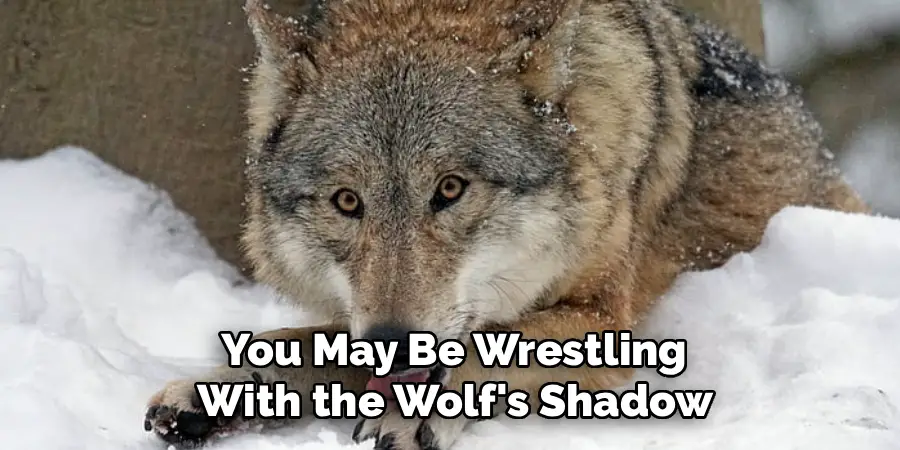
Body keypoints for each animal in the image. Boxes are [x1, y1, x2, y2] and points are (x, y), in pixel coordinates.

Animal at [143, 0, 870, 448]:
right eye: (347, 202)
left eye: (450, 190)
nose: (393, 345)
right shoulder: (366, 322)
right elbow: (294, 345)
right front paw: (213, 392)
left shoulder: (605, 321)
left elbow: (478, 351)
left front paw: (411, 417)